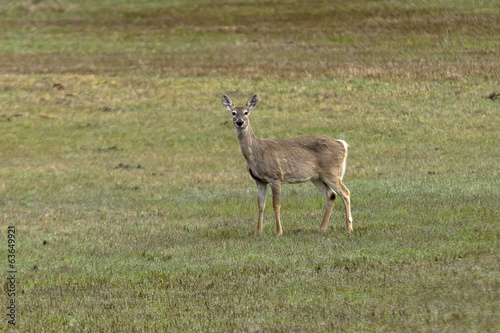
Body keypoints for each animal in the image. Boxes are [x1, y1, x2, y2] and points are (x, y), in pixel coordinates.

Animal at [223, 92, 352, 236]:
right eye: (233, 113)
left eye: (246, 112)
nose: (240, 122)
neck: (257, 152)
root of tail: (342, 144)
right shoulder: (259, 181)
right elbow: (260, 206)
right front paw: (258, 232)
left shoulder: (275, 176)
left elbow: (276, 205)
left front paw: (279, 232)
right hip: (317, 177)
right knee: (331, 195)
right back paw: (321, 229)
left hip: (331, 172)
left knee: (345, 192)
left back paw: (349, 228)